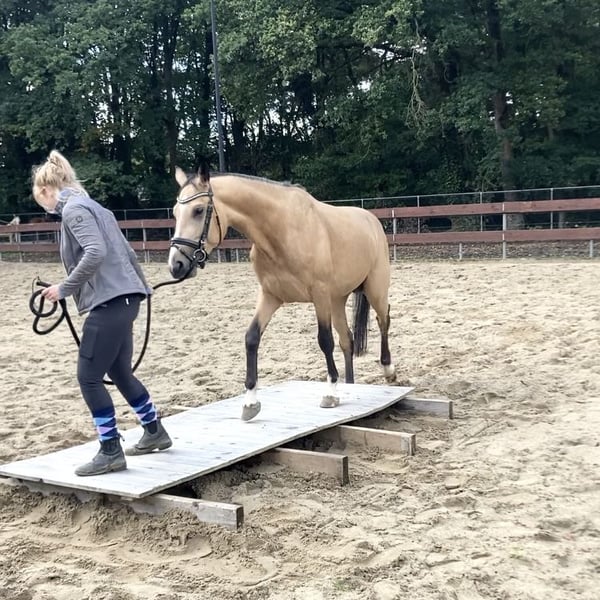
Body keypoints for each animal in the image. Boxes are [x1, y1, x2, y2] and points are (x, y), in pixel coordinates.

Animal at [168, 165, 397, 421]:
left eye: (198, 210)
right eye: (175, 213)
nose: (176, 265)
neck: (283, 231)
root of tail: (372, 220)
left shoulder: (319, 295)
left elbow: (324, 340)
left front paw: (329, 393)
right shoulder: (270, 296)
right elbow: (251, 338)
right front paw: (250, 402)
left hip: (375, 290)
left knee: (383, 320)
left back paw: (388, 370)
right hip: (337, 300)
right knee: (347, 338)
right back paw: (349, 384)